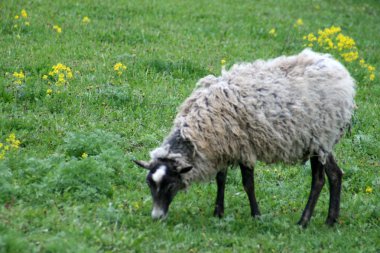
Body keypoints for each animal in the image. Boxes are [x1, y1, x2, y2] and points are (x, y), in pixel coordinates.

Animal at [132, 48, 354, 227]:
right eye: (149, 184)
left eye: (170, 185)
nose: (156, 217)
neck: (200, 128)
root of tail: (343, 75)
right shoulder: (222, 147)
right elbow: (220, 179)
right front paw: (218, 212)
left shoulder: (244, 148)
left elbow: (248, 185)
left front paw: (256, 215)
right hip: (323, 141)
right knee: (335, 174)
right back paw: (330, 220)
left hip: (320, 138)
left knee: (318, 180)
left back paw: (303, 222)